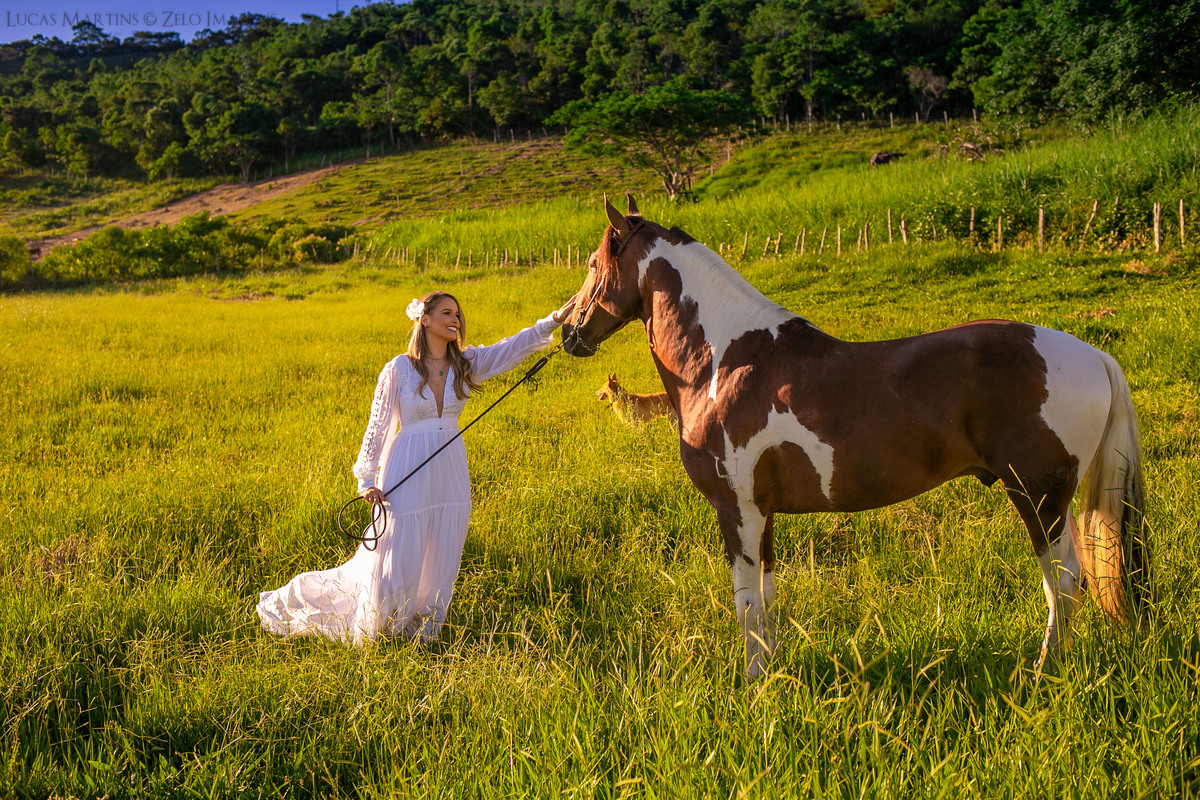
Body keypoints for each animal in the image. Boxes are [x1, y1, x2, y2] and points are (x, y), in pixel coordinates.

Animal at [561, 197, 1150, 677]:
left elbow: (747, 605)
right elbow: (768, 600)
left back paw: (1043, 672)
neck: (724, 363)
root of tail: (1094, 355)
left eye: (592, 264)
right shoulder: (763, 513)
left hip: (1039, 498)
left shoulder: (738, 509)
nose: (568, 332)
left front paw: (754, 686)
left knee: (1065, 582)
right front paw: (773, 676)